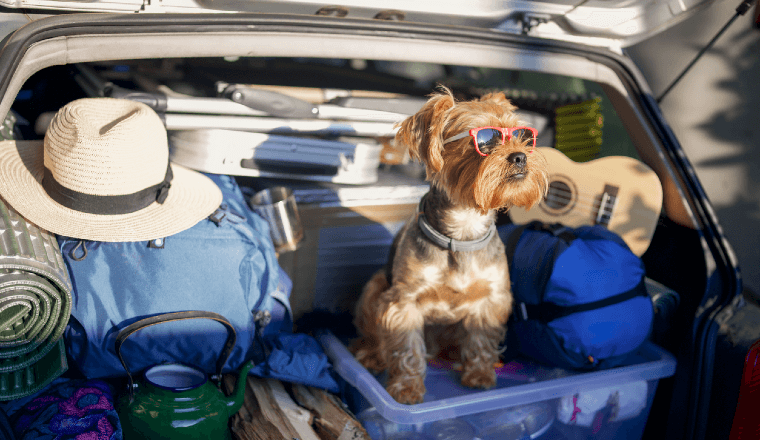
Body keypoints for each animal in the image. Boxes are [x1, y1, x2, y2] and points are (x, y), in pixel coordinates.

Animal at [350, 87, 548, 406]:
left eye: (522, 136)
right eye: (485, 139)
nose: (520, 156)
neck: (464, 229)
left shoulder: (492, 297)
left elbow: (482, 336)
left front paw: (479, 374)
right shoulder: (404, 301)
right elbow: (407, 346)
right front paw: (406, 388)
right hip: (375, 285)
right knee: (373, 333)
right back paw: (372, 355)